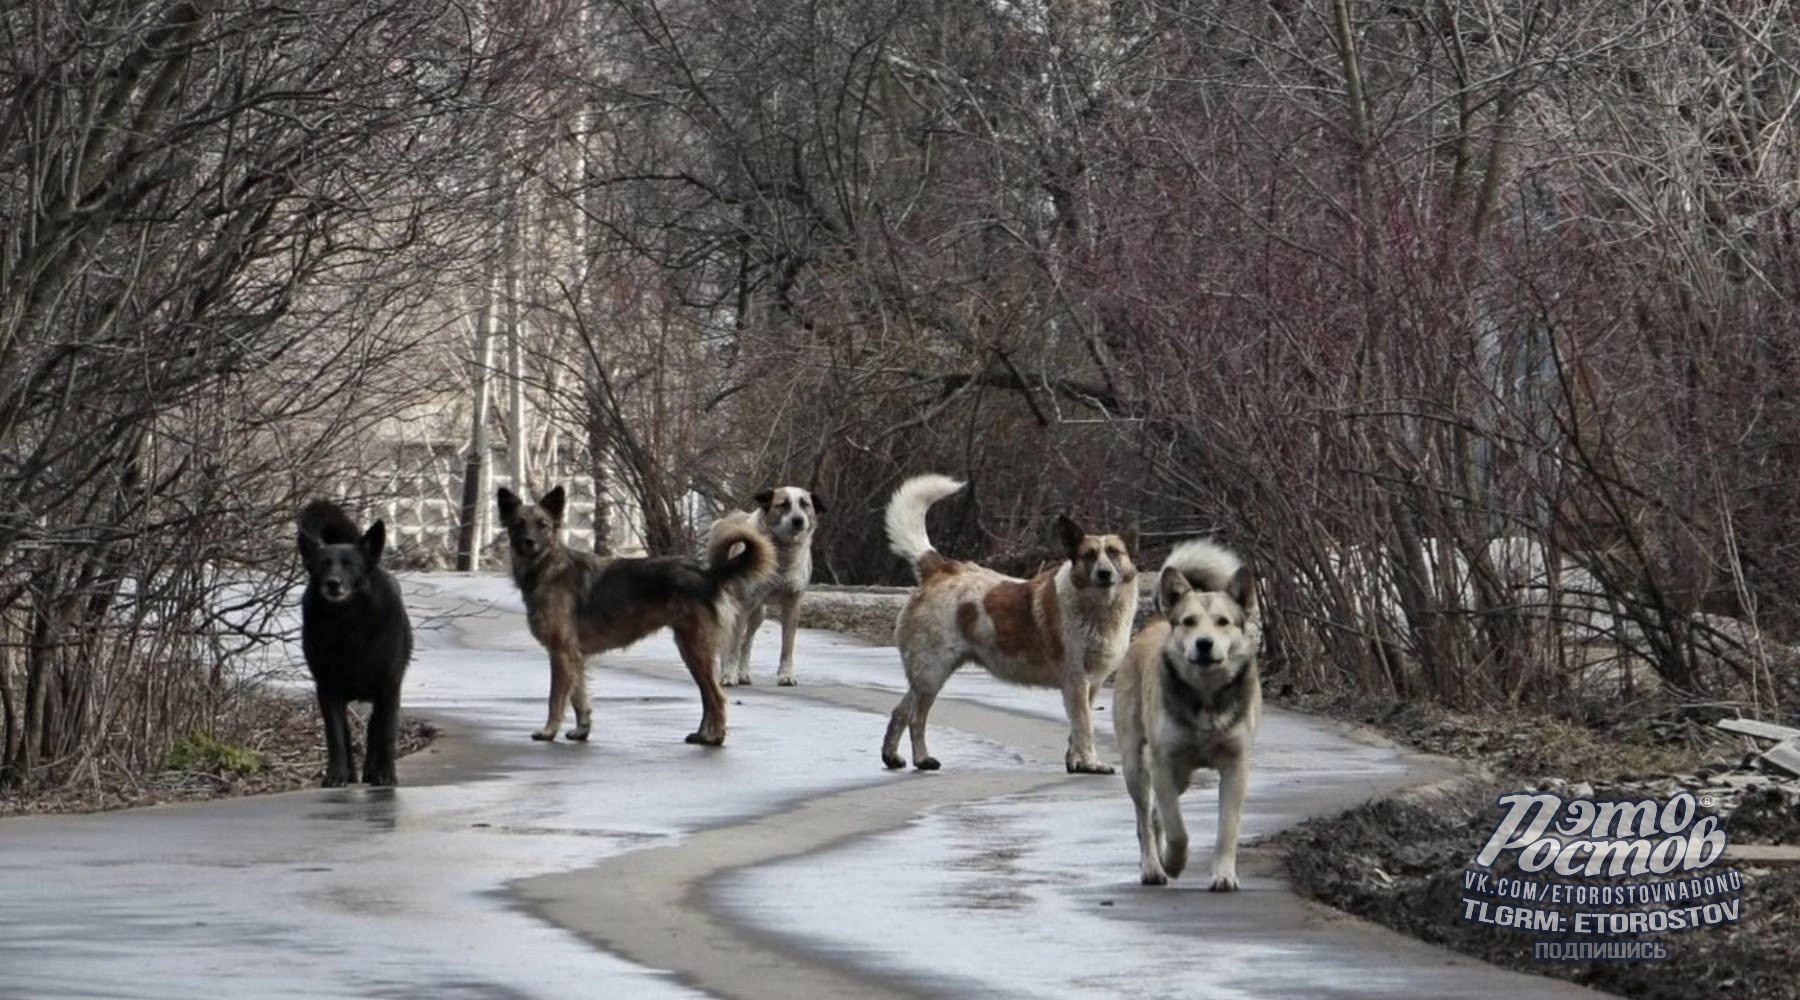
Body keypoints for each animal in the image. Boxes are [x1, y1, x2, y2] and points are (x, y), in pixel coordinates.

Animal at [300, 500, 415, 787]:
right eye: (322, 565)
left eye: (350, 564)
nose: (332, 583)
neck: (348, 623)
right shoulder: (327, 690)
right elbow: (336, 736)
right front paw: (336, 774)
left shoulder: (389, 688)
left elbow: (385, 733)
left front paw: (385, 774)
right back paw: (350, 773)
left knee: (375, 730)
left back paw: (373, 772)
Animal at [500, 485, 774, 741]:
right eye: (518, 524)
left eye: (543, 525)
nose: (529, 542)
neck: (548, 566)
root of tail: (708, 573)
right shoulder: (573, 656)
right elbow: (579, 698)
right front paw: (581, 730)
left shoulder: (561, 653)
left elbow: (555, 698)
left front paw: (548, 731)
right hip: (691, 650)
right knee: (708, 698)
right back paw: (702, 735)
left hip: (694, 649)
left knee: (716, 697)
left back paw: (714, 738)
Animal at [874, 474, 1137, 773]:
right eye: (1089, 555)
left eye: (1115, 553)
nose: (1104, 573)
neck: (1098, 609)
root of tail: (941, 568)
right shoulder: (1076, 681)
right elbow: (1085, 728)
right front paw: (1092, 763)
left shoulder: (1090, 685)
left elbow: (1076, 729)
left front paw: (1076, 762)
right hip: (932, 674)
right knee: (913, 716)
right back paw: (915, 758)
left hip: (928, 676)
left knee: (904, 713)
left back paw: (898, 758)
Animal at [1108, 539, 1267, 892]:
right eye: (1189, 621)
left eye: (1223, 622)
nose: (1204, 644)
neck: (1205, 697)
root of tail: (1155, 622)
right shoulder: (1163, 762)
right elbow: (1176, 827)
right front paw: (1173, 861)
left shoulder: (1235, 765)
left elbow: (1227, 829)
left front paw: (1224, 874)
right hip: (1137, 764)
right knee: (1145, 817)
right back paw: (1153, 865)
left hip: (1180, 776)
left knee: (1154, 814)